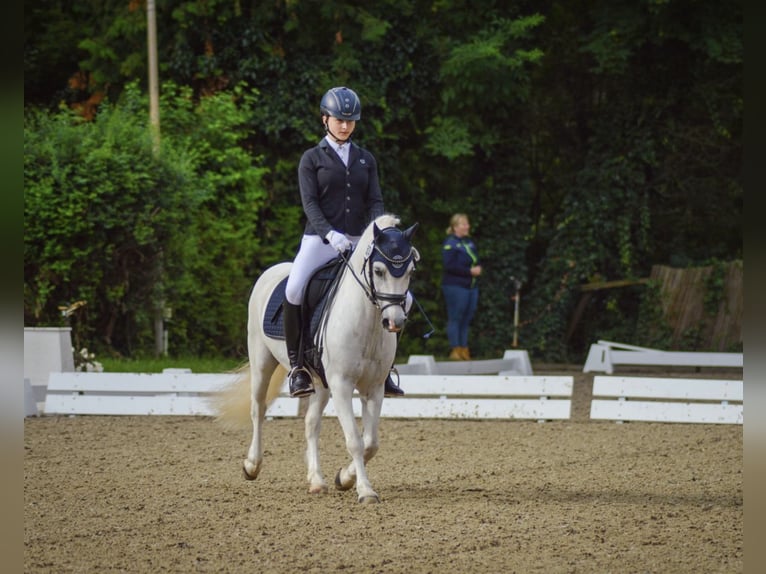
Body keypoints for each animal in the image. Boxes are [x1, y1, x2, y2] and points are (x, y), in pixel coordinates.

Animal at [216, 215, 420, 504]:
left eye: (410, 272)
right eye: (379, 271)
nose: (394, 322)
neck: (367, 322)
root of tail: (272, 272)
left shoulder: (374, 388)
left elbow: (370, 443)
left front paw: (344, 479)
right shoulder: (342, 385)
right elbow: (355, 440)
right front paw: (365, 491)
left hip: (320, 382)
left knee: (311, 423)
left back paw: (316, 480)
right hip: (262, 362)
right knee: (258, 409)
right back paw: (251, 465)